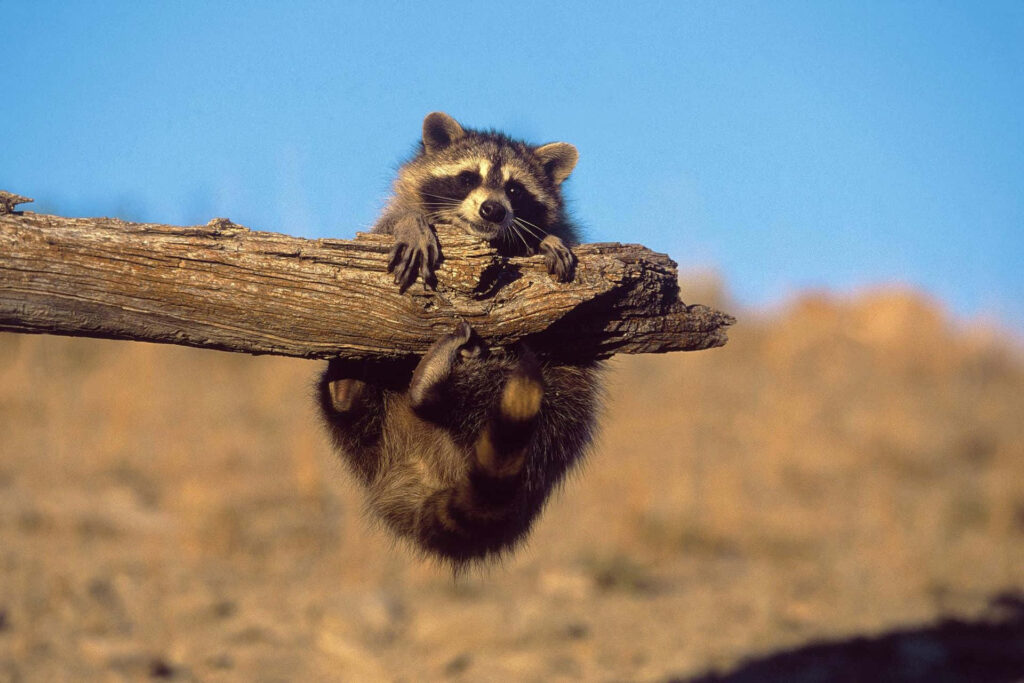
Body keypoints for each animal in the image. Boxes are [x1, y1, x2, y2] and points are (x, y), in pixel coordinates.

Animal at [318, 113, 602, 564]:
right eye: (469, 178)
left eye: (515, 189)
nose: (493, 209)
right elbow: (393, 224)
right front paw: (412, 224)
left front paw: (545, 240)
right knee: (351, 412)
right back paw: (349, 384)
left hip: (560, 407)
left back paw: (431, 389)